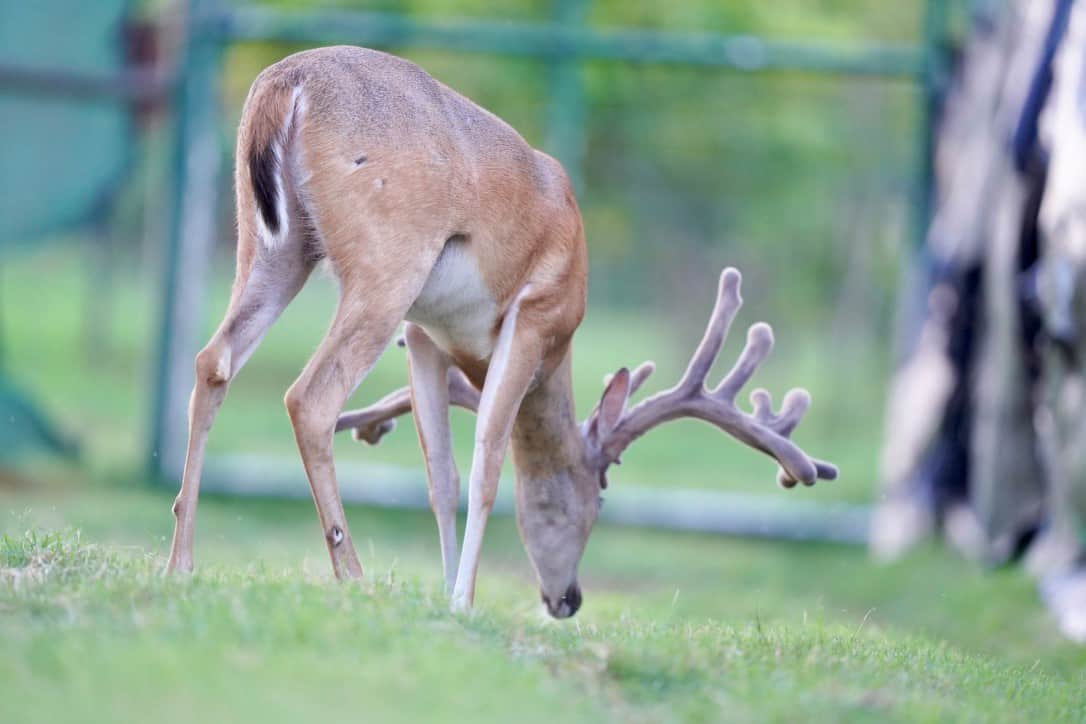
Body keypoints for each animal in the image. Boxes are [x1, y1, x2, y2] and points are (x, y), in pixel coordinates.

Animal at [164, 45, 837, 618]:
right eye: (596, 493)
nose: (568, 599)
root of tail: (288, 83)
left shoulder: (425, 334)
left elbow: (440, 474)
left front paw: (443, 594)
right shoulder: (536, 315)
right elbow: (488, 460)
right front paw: (464, 600)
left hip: (274, 246)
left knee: (212, 360)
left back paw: (180, 562)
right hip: (388, 262)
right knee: (310, 397)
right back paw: (350, 575)